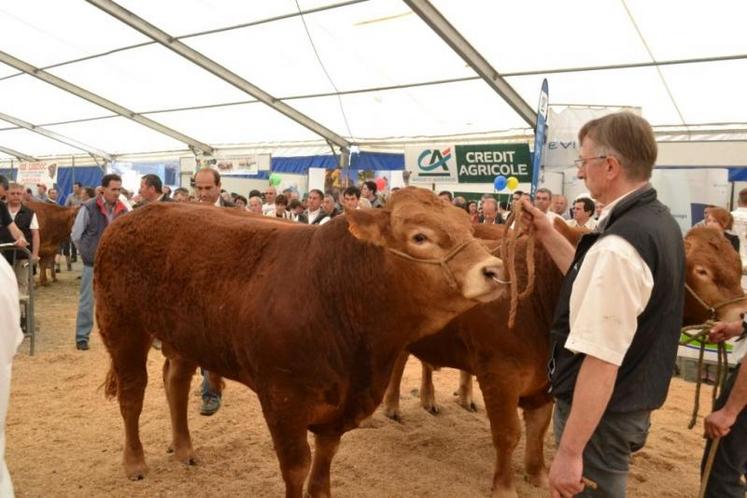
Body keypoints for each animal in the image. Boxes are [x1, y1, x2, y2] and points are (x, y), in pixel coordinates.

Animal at [93, 189, 508, 496]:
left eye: (467, 226)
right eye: (420, 236)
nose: (495, 269)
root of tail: (130, 217)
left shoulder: (341, 408)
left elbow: (323, 465)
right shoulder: (282, 400)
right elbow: (297, 467)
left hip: (184, 336)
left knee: (175, 383)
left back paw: (183, 449)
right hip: (121, 325)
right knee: (132, 395)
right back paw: (135, 462)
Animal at [382, 223, 744, 498]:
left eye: (739, 267)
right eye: (702, 270)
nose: (741, 316)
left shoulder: (545, 379)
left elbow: (538, 427)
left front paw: (538, 476)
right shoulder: (499, 372)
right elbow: (508, 432)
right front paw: (504, 488)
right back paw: (392, 408)